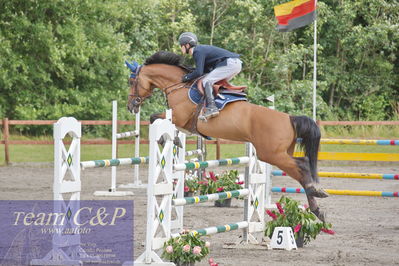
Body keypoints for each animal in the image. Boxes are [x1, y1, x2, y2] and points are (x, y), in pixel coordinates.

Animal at [126, 51, 330, 221]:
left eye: (131, 81)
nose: (131, 106)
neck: (179, 85)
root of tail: (289, 118)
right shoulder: (180, 121)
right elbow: (166, 125)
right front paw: (175, 139)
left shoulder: (178, 117)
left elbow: (154, 118)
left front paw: (169, 139)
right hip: (280, 153)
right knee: (302, 165)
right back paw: (317, 208)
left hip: (272, 154)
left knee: (302, 165)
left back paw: (316, 194)